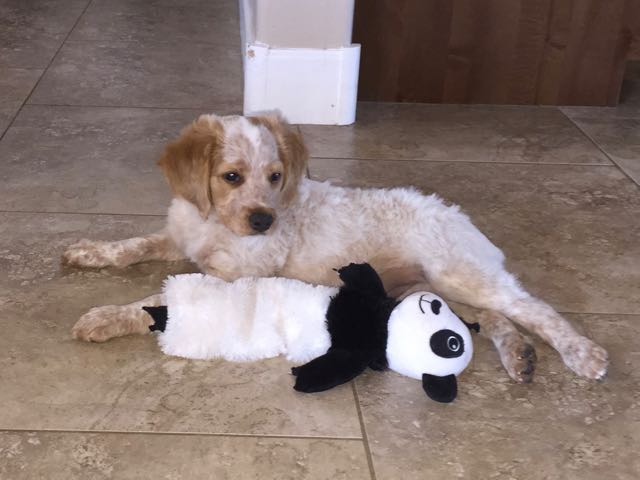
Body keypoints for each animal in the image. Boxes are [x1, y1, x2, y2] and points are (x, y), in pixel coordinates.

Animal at [65, 111, 608, 382]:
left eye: (276, 176)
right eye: (232, 176)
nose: (264, 221)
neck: (214, 222)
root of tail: (463, 218)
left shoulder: (230, 277)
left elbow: (153, 298)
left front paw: (104, 317)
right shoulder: (178, 239)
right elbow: (131, 245)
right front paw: (89, 251)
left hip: (459, 273)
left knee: (531, 308)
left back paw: (581, 353)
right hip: (432, 288)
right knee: (495, 317)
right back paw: (519, 355)